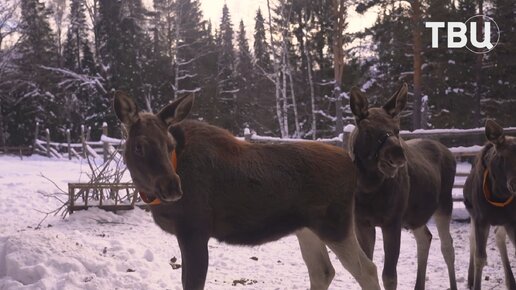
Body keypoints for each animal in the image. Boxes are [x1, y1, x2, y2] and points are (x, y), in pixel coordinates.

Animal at [113, 91, 378, 290]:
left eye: (169, 144)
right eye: (139, 146)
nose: (172, 186)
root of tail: (351, 164)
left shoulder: (195, 229)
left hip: (335, 225)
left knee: (367, 270)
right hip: (307, 229)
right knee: (323, 271)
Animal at [344, 82, 458, 288]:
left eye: (397, 129)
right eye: (368, 131)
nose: (397, 154)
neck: (368, 188)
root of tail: (449, 153)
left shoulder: (393, 221)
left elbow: (389, 276)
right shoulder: (361, 222)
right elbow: (366, 270)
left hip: (445, 203)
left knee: (447, 247)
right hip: (417, 214)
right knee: (425, 237)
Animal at [464, 119, 516, 290]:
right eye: (502, 156)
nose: (514, 184)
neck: (499, 196)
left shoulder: (511, 220)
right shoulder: (481, 219)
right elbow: (480, 257)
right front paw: (476, 284)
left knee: (498, 236)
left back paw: (510, 282)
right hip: (473, 216)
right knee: (472, 241)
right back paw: (470, 279)